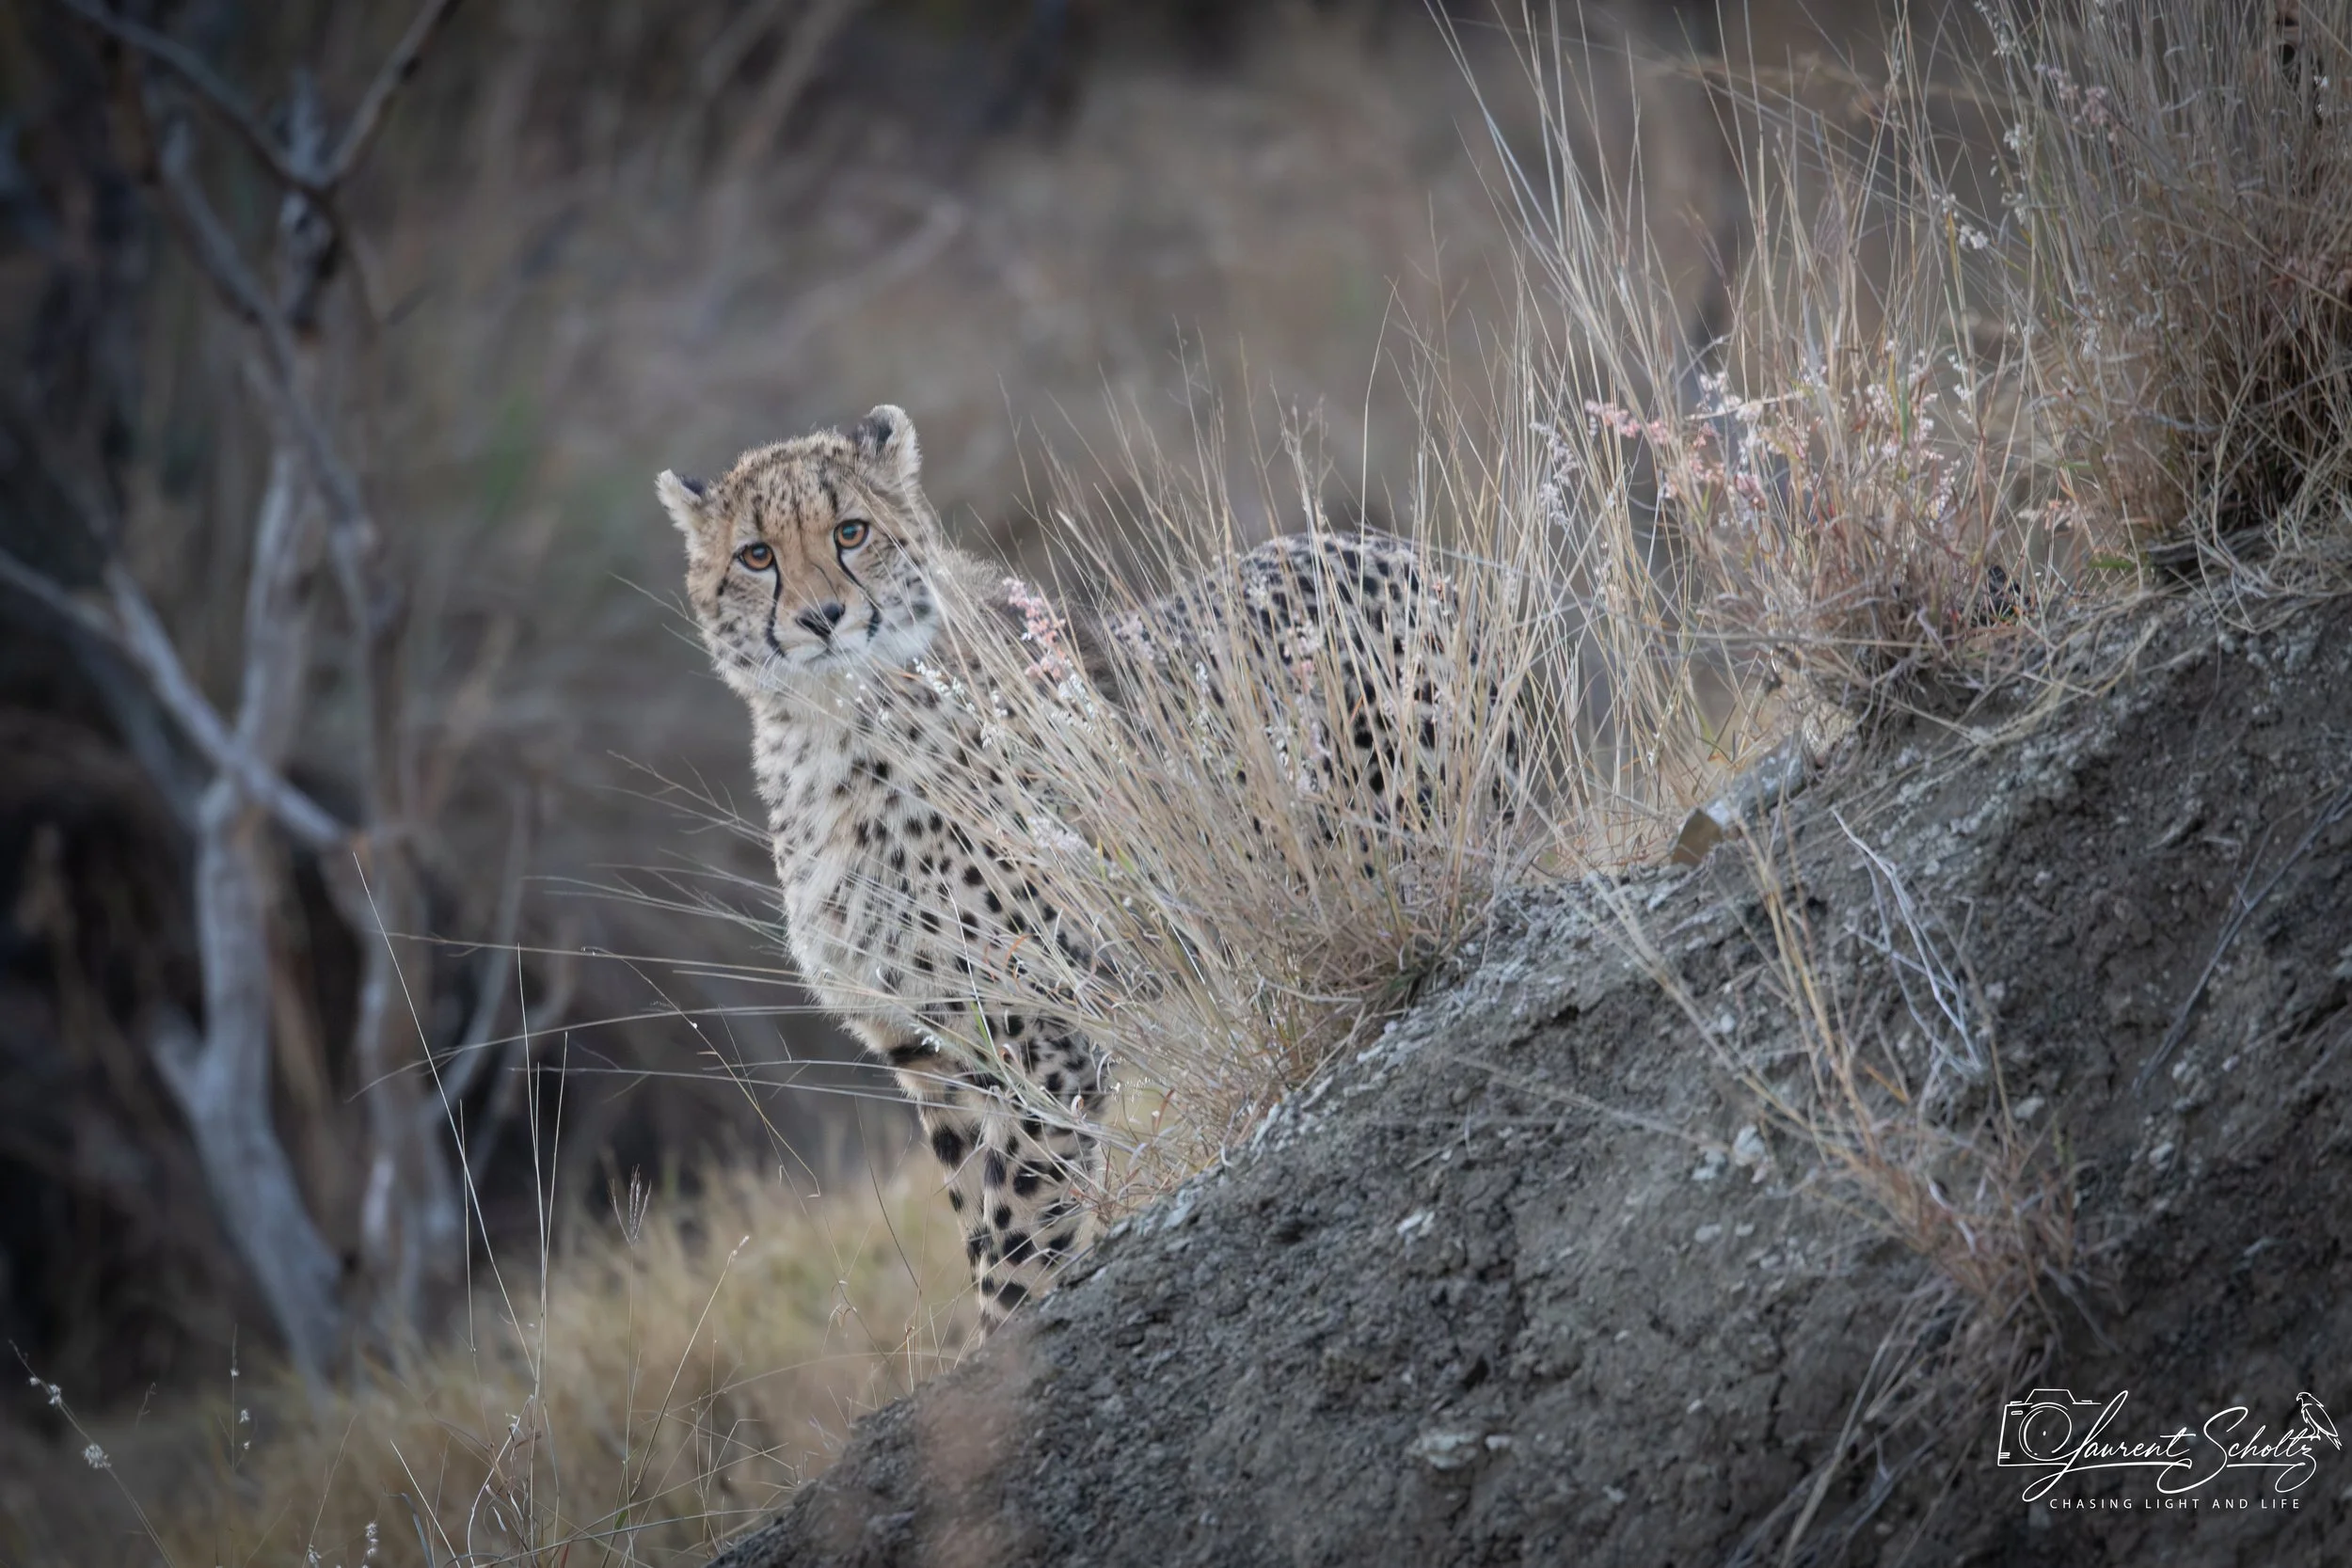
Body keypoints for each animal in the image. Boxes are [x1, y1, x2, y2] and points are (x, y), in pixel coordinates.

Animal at [660, 405, 1495, 1328]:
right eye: (755, 555)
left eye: (851, 531)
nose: (822, 617)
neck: (830, 727)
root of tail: (1383, 543)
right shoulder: (932, 1052)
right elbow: (979, 1218)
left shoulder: (1043, 1030)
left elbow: (1021, 1225)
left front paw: (1009, 1341)